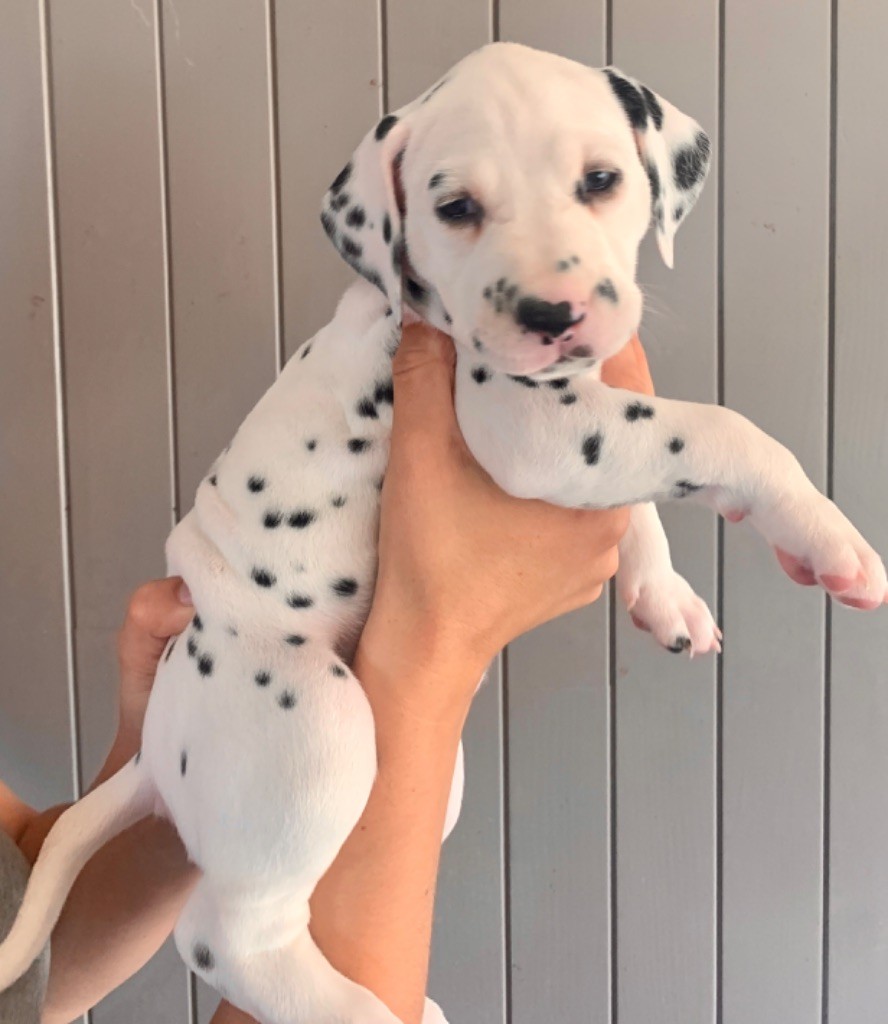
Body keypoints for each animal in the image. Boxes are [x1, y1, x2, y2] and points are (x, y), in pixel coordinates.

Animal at [1, 41, 885, 1024]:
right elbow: (716, 429)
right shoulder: (533, 429)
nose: (553, 315)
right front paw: (825, 533)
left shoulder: (593, 419)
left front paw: (665, 594)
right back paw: (366, 1012)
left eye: (601, 180)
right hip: (315, 730)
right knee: (229, 933)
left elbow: (649, 483)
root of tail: (153, 745)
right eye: (456, 207)